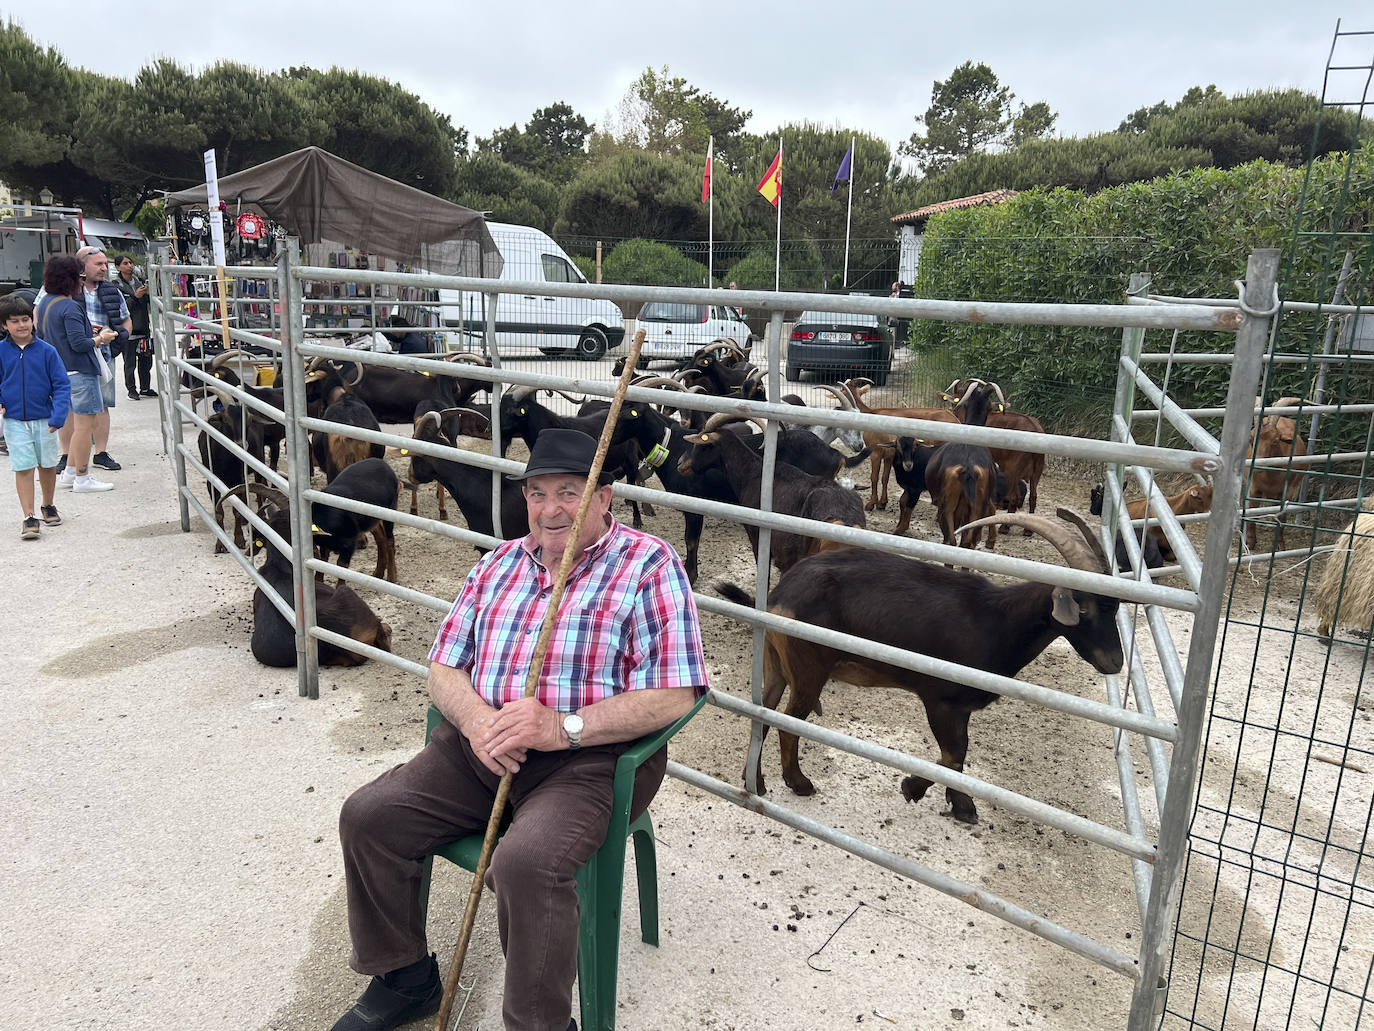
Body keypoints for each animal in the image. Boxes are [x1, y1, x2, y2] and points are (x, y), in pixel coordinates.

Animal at [714, 508, 1121, 824]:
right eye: (1085, 608)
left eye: (1115, 608)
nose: (1114, 663)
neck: (997, 621)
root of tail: (780, 595)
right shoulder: (940, 699)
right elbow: (952, 755)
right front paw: (916, 789)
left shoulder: (961, 706)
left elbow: (959, 755)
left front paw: (959, 804)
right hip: (809, 667)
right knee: (788, 723)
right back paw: (798, 783)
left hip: (777, 664)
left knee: (762, 713)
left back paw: (755, 781)